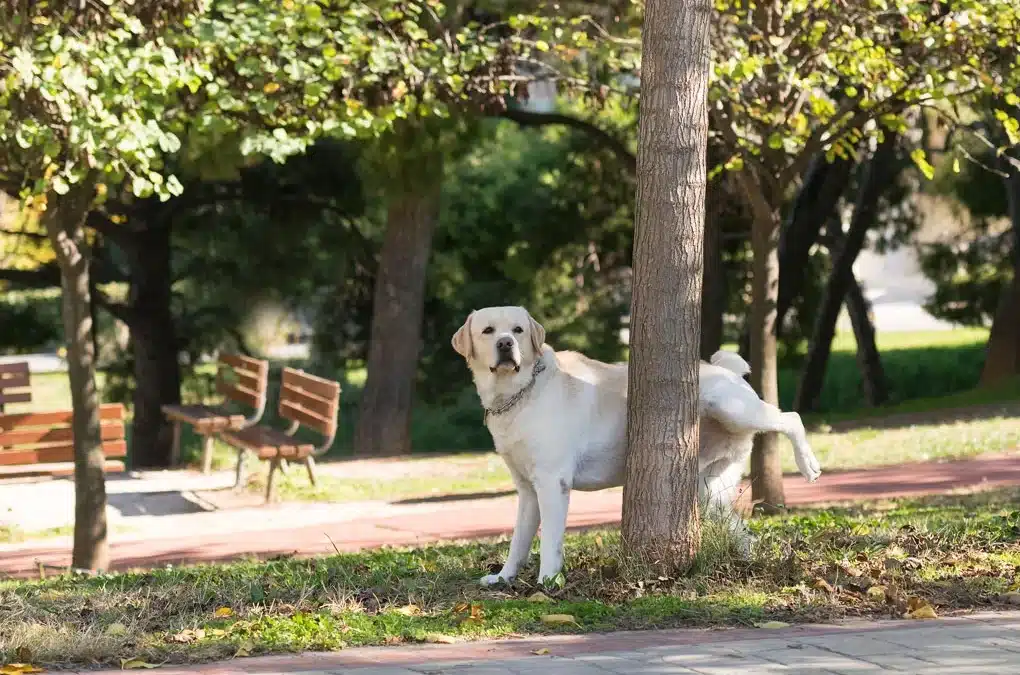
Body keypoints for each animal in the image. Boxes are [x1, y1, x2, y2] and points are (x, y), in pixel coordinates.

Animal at [454, 305, 820, 587]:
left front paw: (548, 581)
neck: (520, 393)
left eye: (517, 330)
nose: (505, 344)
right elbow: (519, 541)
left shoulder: (552, 483)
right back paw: (747, 564)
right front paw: (504, 577)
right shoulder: (528, 490)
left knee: (791, 418)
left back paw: (809, 464)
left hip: (733, 408)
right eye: (488, 330)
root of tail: (724, 369)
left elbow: (549, 542)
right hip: (709, 488)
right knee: (743, 532)